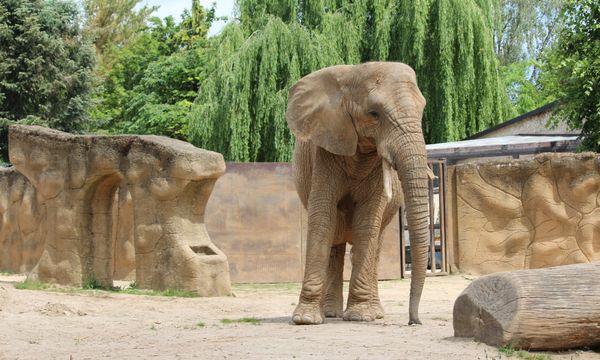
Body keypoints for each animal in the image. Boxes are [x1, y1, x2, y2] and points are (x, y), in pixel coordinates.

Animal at [284, 62, 428, 326]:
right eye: (374, 113)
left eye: (422, 110)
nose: (415, 321)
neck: (353, 74)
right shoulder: (325, 147)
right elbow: (322, 219)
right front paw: (305, 319)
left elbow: (366, 223)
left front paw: (360, 316)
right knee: (335, 243)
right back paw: (330, 313)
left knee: (375, 245)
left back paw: (374, 312)